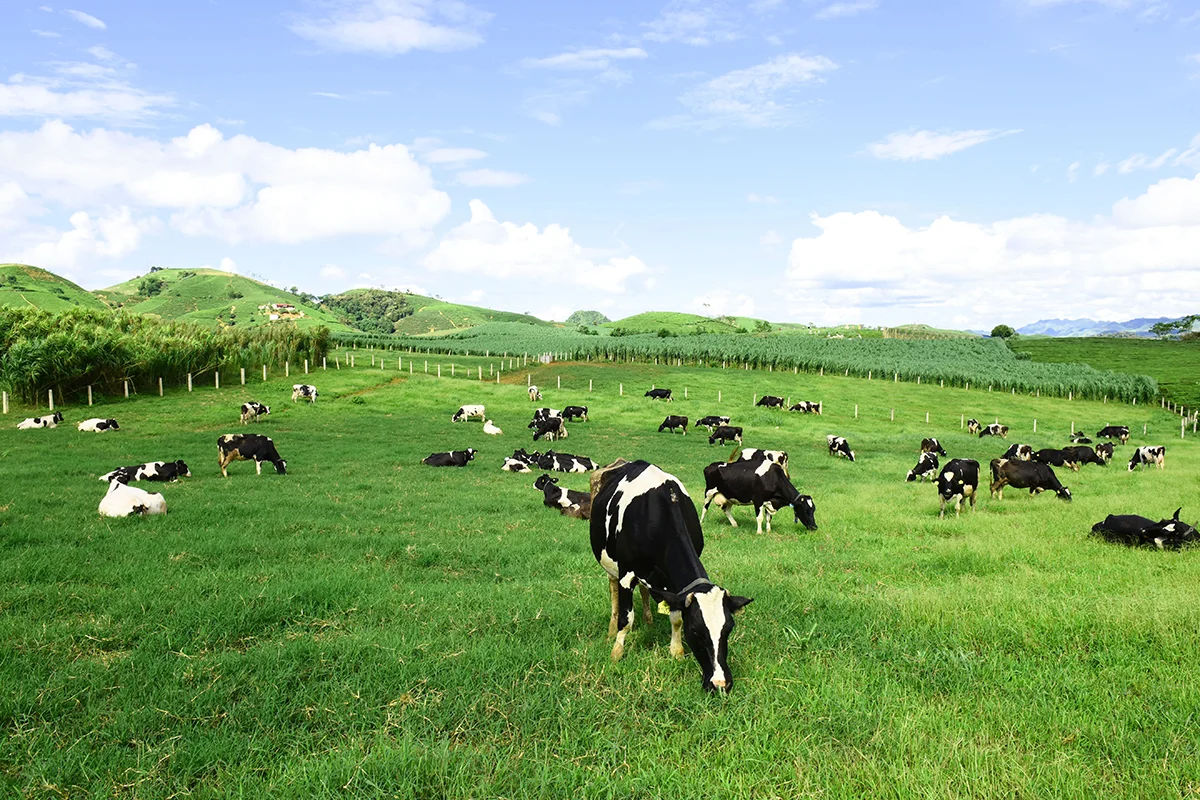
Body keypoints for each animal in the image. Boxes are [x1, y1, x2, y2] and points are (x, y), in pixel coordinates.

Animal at [590, 459, 752, 692]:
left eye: (728, 629)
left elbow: (675, 617)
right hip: (609, 564)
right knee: (613, 592)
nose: (720, 683)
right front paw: (617, 652)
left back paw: (649, 620)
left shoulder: (675, 587)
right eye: (695, 631)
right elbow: (626, 619)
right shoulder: (626, 574)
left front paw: (677, 651)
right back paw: (612, 630)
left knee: (644, 590)